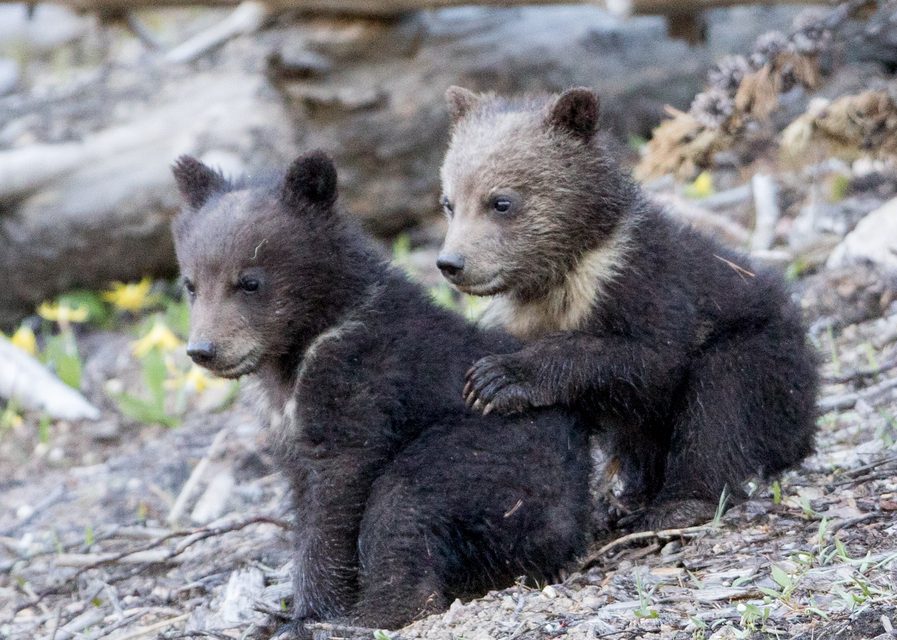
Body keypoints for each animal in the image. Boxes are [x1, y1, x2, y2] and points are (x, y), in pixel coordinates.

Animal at [170, 151, 592, 632]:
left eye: (250, 281)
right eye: (191, 284)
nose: (203, 350)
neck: (297, 355)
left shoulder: (361, 381)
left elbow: (337, 495)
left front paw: (312, 612)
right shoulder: (286, 423)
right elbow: (302, 490)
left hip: (505, 458)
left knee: (404, 499)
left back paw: (374, 613)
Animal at [436, 86, 819, 531]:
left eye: (500, 202)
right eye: (449, 202)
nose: (451, 263)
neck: (560, 277)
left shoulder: (646, 282)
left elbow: (647, 357)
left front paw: (497, 378)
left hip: (764, 352)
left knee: (721, 404)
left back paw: (682, 502)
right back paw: (625, 499)